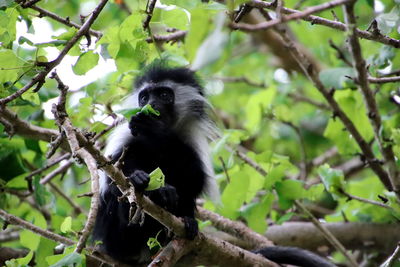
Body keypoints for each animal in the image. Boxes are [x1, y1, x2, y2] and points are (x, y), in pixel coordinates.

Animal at [92, 65, 336, 267]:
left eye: (163, 95)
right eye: (144, 97)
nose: (150, 105)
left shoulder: (189, 138)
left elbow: (195, 178)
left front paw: (156, 134)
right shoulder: (127, 134)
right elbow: (114, 175)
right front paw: (141, 180)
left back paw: (182, 218)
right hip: (116, 237)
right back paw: (146, 188)